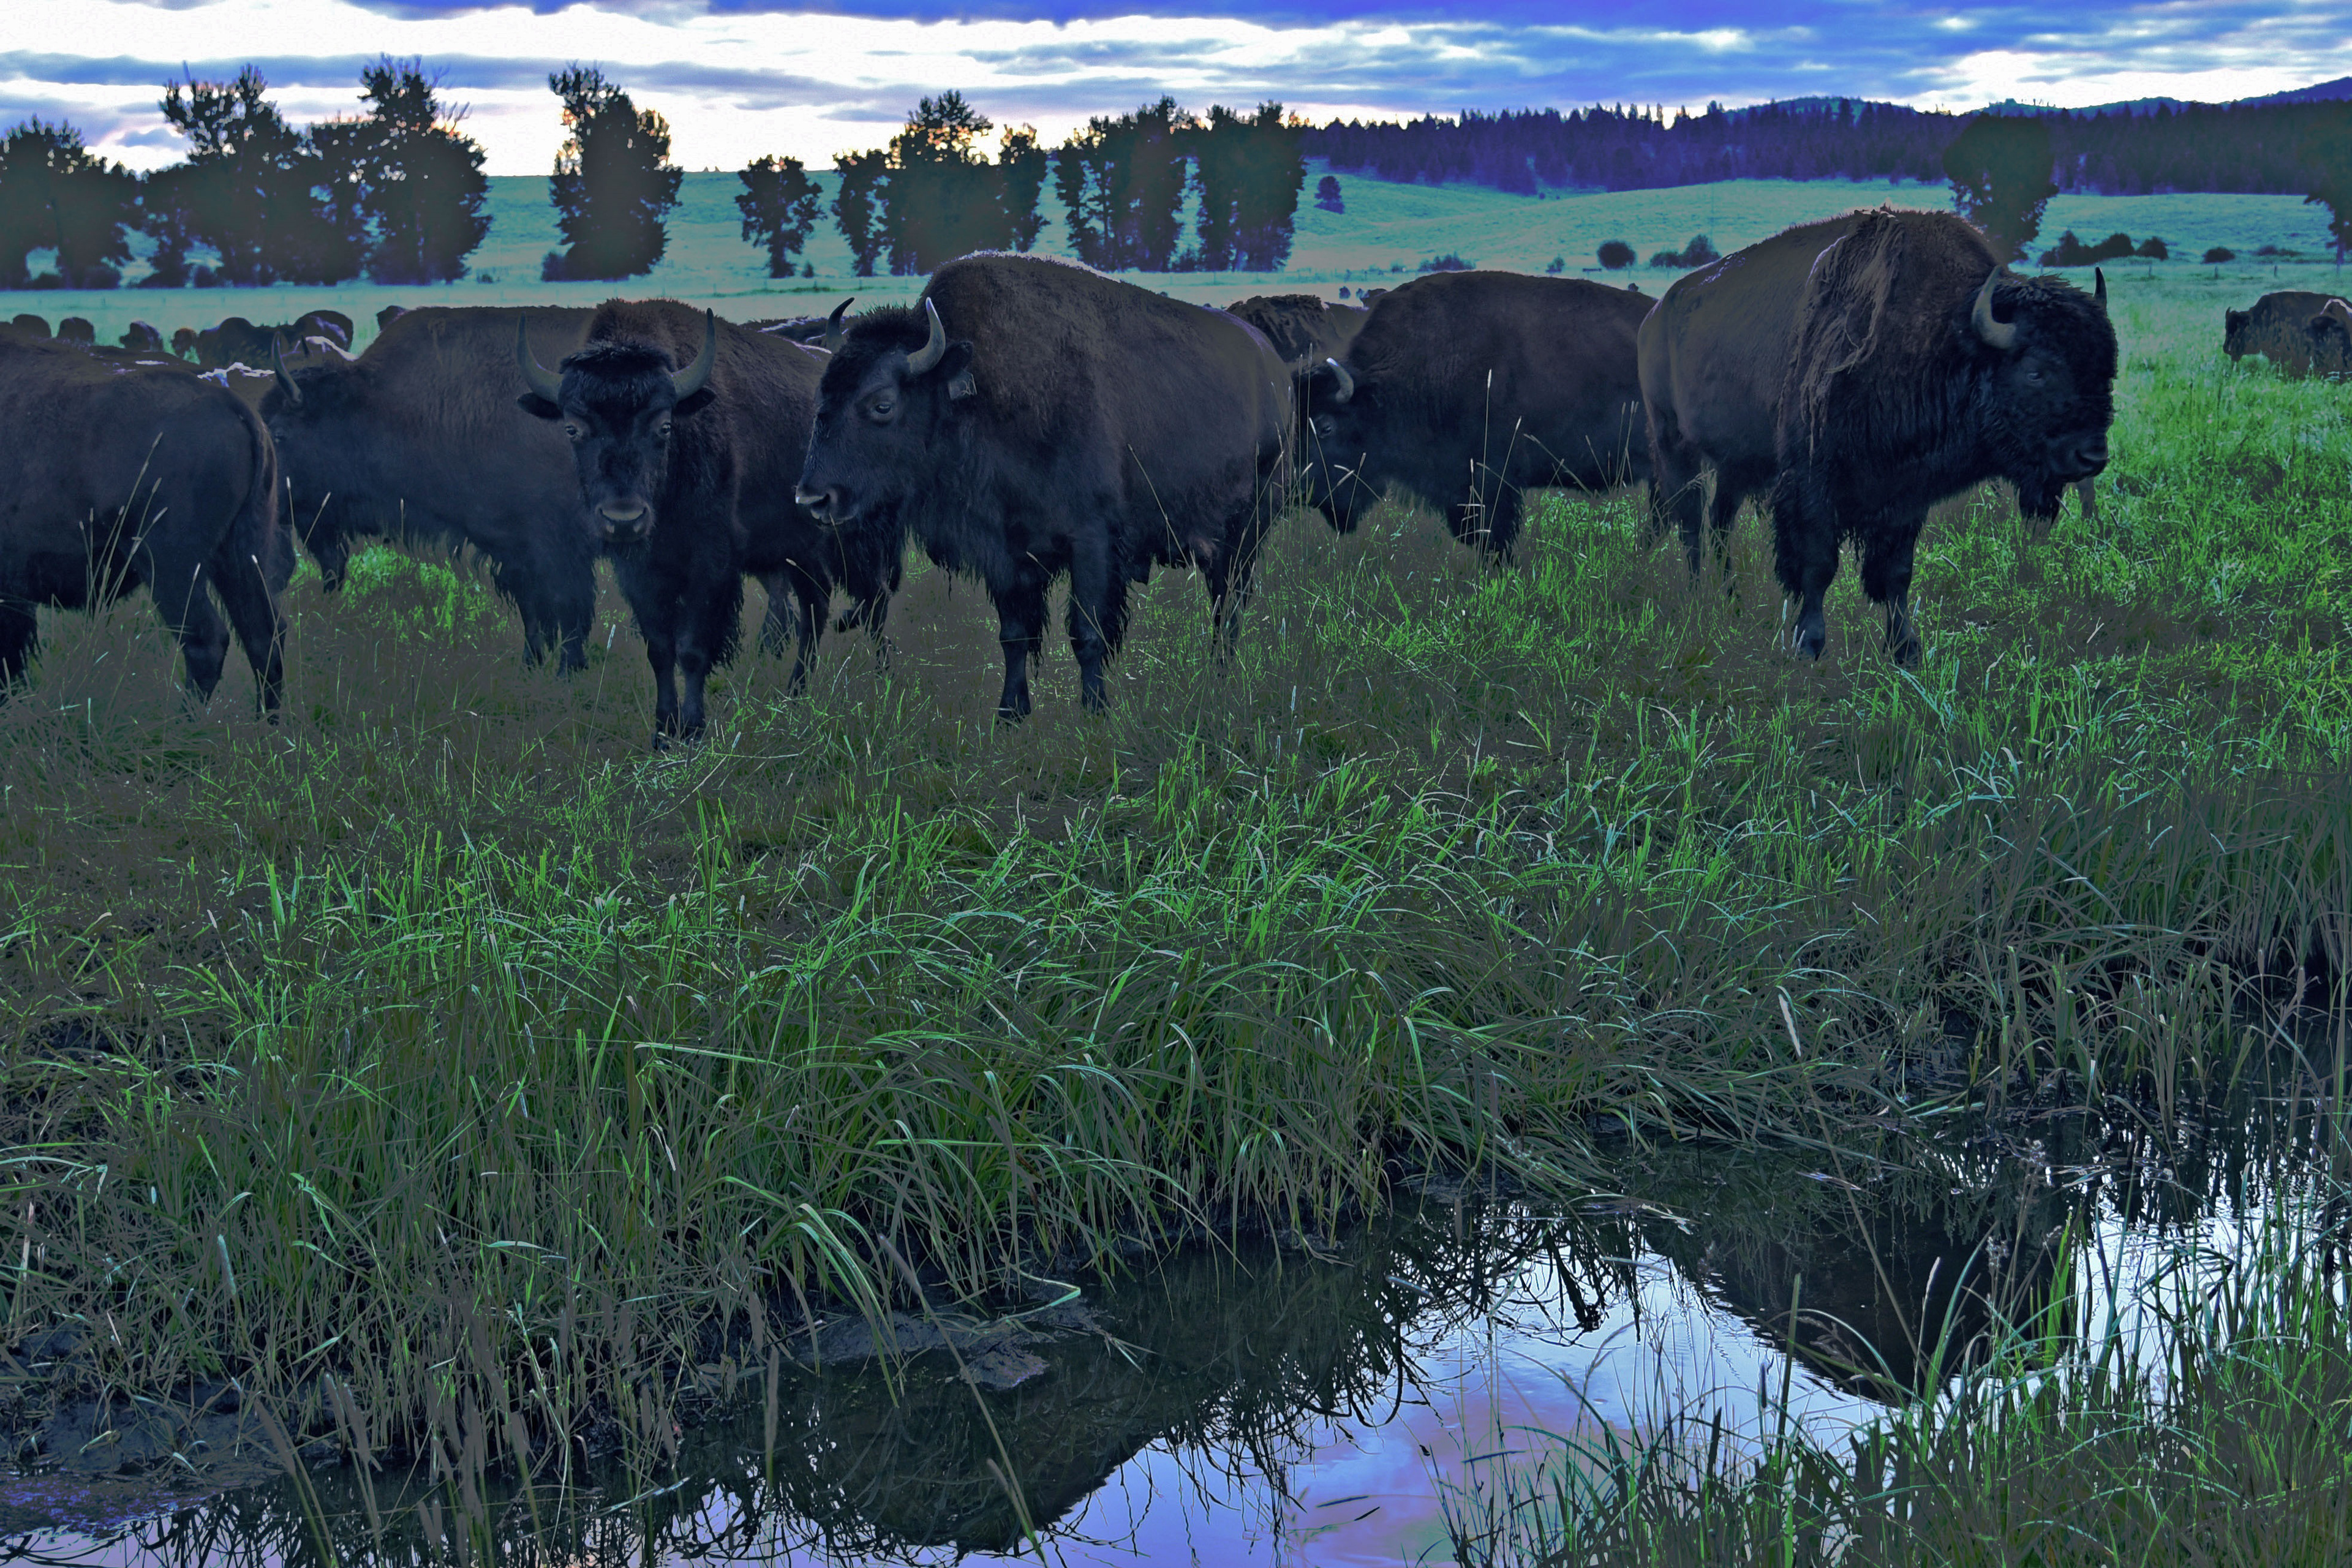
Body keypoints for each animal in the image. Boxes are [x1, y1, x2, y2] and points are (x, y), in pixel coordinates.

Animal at [518, 301, 898, 743]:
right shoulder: (640, 573)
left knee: (873, 600)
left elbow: (692, 649)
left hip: (853, 541)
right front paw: (664, 730)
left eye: (664, 425)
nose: (624, 518)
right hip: (799, 551)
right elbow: (660, 649)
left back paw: (883, 679)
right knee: (816, 606)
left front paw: (694, 728)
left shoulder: (711, 565)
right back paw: (796, 693)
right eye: (572, 427)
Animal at [796, 253, 1292, 719]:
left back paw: (1221, 674)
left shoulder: (1091, 541)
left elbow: (1088, 632)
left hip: (1250, 525)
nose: (813, 497)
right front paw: (1009, 715)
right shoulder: (1005, 553)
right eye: (823, 394)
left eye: (882, 404)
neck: (982, 395)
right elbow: (1014, 635)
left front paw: (1095, 711)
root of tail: (1272, 367)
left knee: (1229, 601)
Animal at [1646, 208, 2117, 662]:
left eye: (2106, 367)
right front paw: (1809, 645)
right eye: (2036, 372)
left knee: (1718, 525)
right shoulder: (1813, 482)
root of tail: (1659, 311)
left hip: (1735, 466)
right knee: (1691, 524)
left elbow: (1897, 574)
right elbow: (1817, 564)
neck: (1943, 336)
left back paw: (1732, 601)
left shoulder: (1905, 495)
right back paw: (1698, 598)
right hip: (1674, 446)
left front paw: (1904, 648)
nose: (2092, 457)